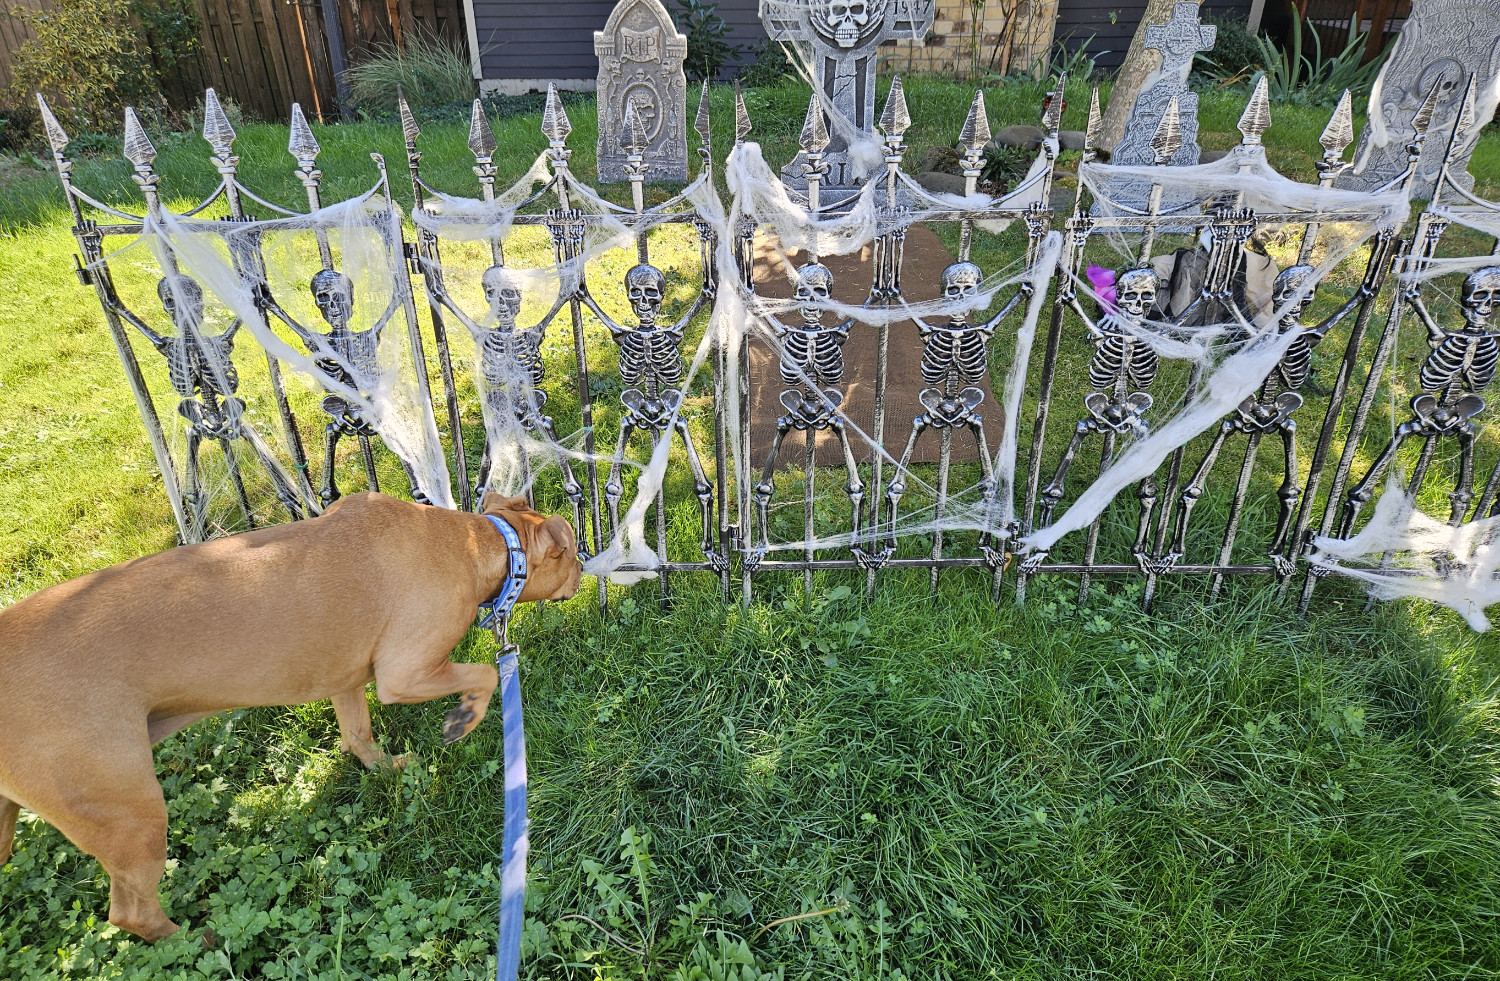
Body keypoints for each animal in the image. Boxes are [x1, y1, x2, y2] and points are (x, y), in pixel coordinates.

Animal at [0, 492, 579, 948]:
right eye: (571, 551)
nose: (584, 572)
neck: (476, 541)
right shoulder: (405, 673)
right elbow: (482, 673)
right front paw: (465, 717)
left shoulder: (345, 676)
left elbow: (358, 735)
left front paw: (385, 768)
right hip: (131, 816)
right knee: (132, 912)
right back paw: (198, 941)